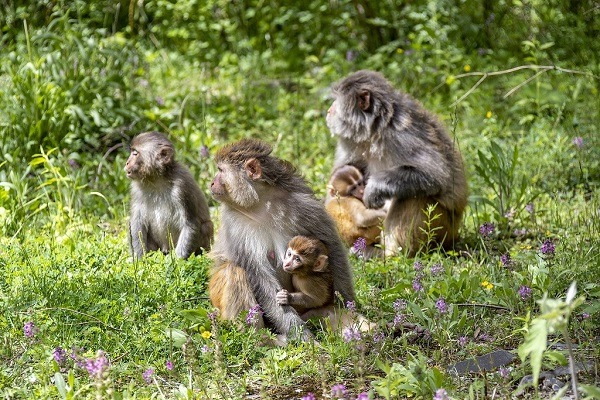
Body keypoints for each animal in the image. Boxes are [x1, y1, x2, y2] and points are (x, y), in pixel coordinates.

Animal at [124, 131, 213, 260]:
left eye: (135, 153)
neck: (156, 179)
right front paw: (140, 259)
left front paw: (176, 261)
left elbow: (190, 224)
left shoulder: (182, 187)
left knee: (206, 226)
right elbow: (137, 223)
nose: (127, 162)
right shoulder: (136, 189)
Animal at [209, 138, 354, 340]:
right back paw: (260, 341)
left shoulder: (302, 203)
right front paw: (302, 337)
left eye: (221, 170)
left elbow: (331, 245)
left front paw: (349, 304)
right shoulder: (234, 224)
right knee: (234, 271)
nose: (212, 182)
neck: (259, 203)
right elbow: (258, 275)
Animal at [324, 70, 468, 255]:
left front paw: (374, 188)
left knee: (413, 196)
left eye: (337, 100)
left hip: (442, 229)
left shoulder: (404, 134)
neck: (375, 131)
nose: (329, 110)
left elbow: (438, 175)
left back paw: (392, 255)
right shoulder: (351, 142)